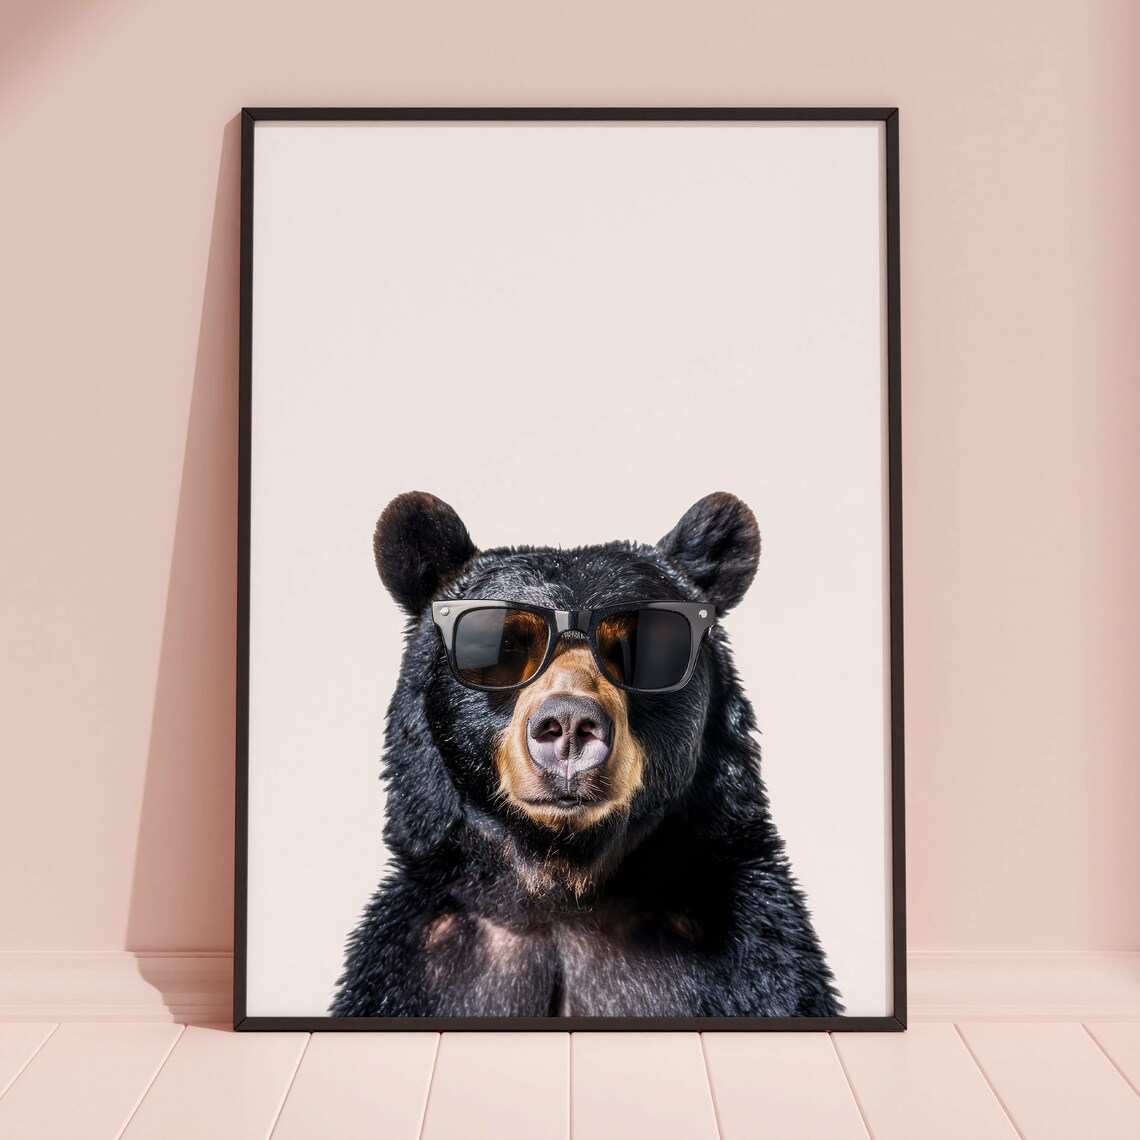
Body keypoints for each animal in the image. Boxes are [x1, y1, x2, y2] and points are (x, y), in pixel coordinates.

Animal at [329, 490, 842, 1018]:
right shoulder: (410, 969)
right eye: (503, 646)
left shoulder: (758, 958)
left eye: (646, 645)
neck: (563, 888)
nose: (571, 724)